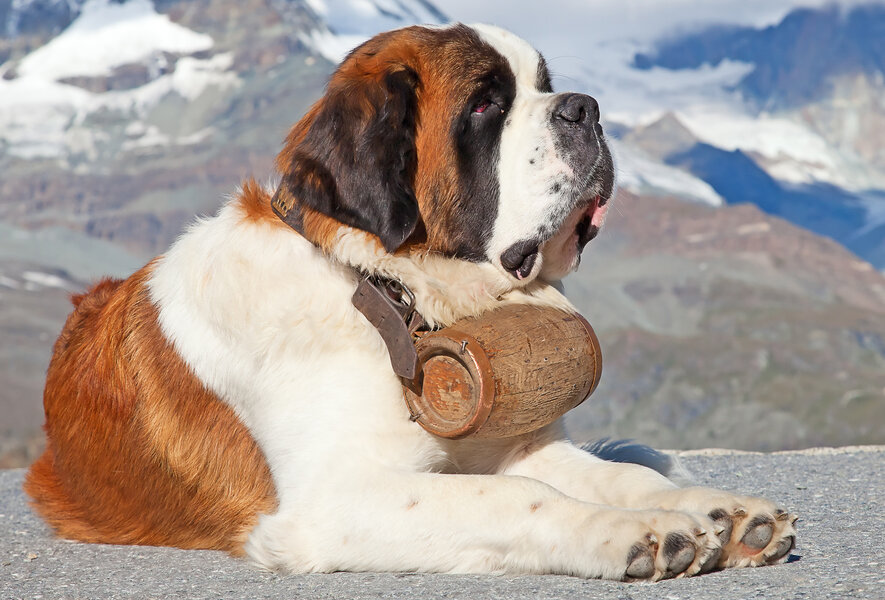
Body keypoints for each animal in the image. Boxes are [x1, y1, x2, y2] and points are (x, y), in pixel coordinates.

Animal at [22, 24, 796, 580]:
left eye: (542, 86)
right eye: (485, 104)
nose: (587, 107)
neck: (390, 295)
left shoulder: (513, 445)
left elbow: (620, 476)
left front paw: (719, 514)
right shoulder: (333, 497)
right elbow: (518, 497)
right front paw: (634, 532)